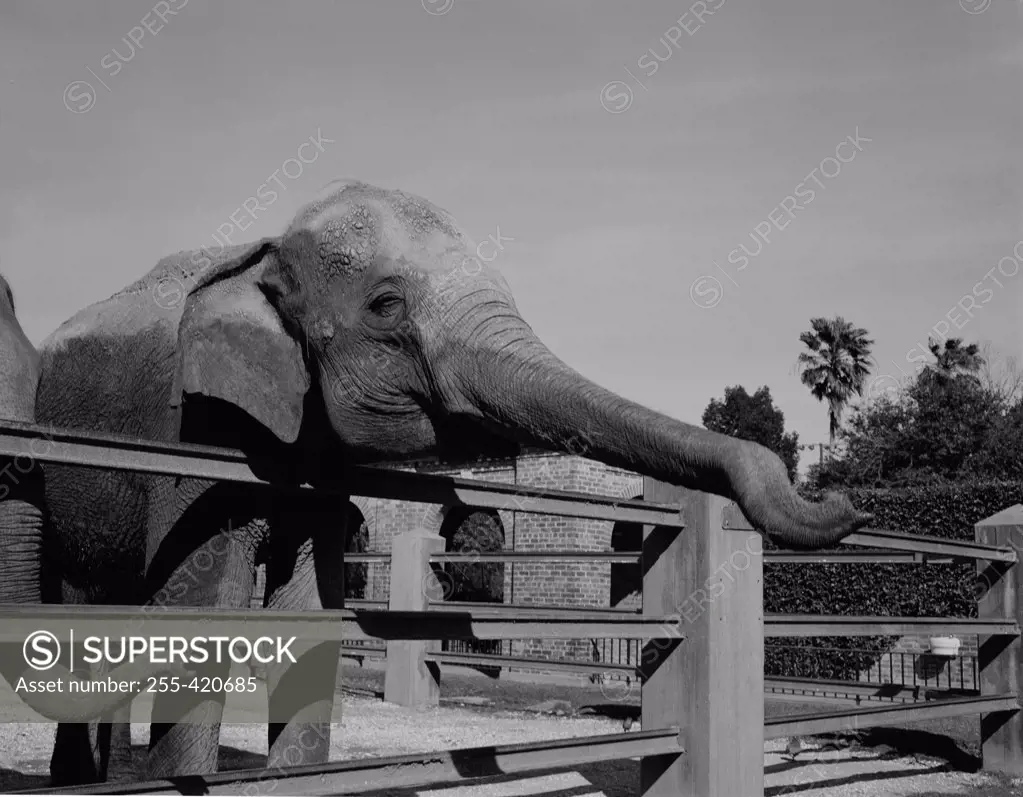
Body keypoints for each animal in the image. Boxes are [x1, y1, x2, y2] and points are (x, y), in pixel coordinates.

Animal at [37, 178, 871, 781]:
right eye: (385, 305)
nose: (846, 498)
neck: (265, 250)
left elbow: (310, 614)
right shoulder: (197, 431)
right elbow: (206, 606)